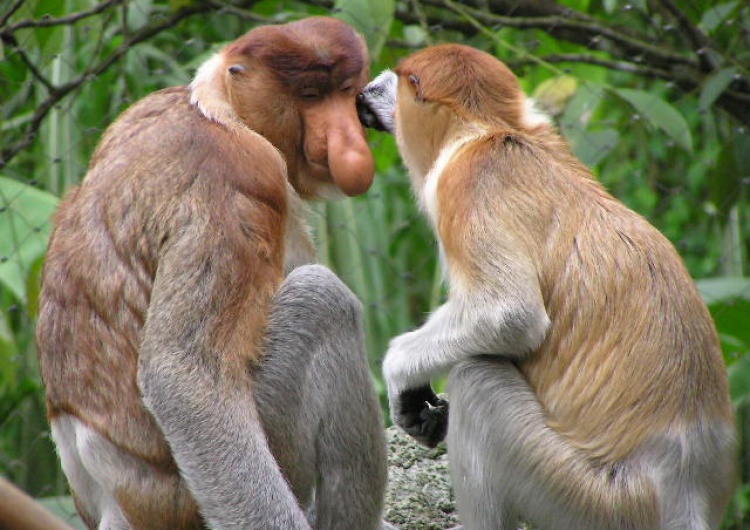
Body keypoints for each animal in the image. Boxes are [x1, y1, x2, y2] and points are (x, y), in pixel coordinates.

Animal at [36, 15, 390, 528]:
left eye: (344, 91)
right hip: (209, 488)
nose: (347, 142)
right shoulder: (237, 179)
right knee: (323, 301)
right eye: (309, 96)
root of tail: (115, 505)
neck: (217, 107)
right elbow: (185, 375)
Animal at [356, 44, 736, 528]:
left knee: (477, 381)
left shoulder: (467, 182)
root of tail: (684, 489)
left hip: (589, 498)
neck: (491, 130)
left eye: (403, 79)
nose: (370, 89)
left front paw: (402, 381)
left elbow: (508, 315)